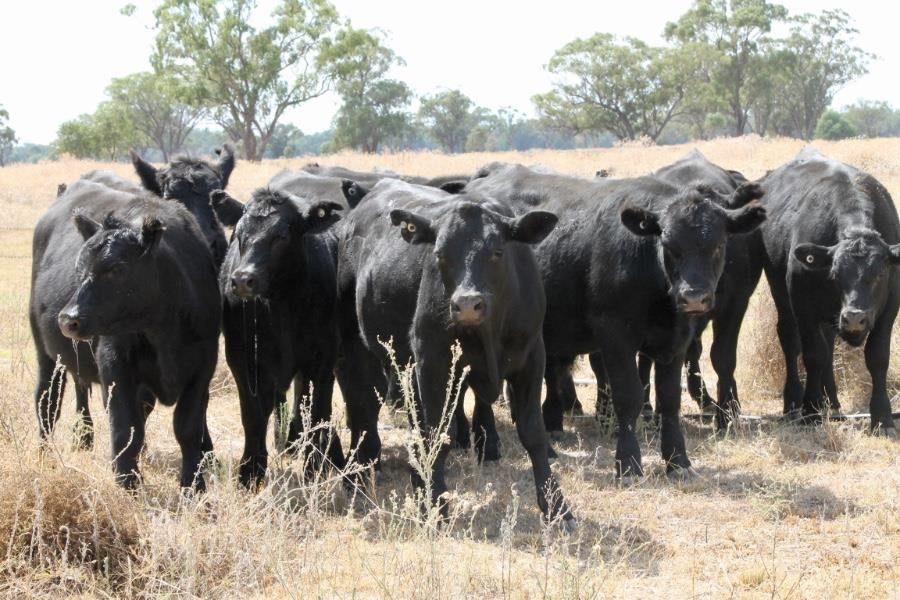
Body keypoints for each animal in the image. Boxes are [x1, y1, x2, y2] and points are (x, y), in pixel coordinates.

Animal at [30, 181, 220, 489]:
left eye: (118, 268)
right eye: (79, 267)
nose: (68, 319)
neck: (162, 330)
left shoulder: (202, 367)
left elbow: (188, 428)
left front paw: (193, 485)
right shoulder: (115, 364)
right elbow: (125, 428)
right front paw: (127, 482)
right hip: (45, 353)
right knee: (47, 403)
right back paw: (45, 455)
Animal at [211, 185, 348, 487]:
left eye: (281, 236)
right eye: (238, 234)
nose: (243, 279)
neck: (280, 304)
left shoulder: (321, 360)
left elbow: (315, 412)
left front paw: (314, 467)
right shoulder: (243, 361)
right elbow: (252, 415)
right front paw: (250, 472)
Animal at [335, 178, 572, 523]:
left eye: (497, 252)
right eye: (440, 254)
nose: (467, 304)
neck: (489, 333)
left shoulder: (531, 356)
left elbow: (533, 433)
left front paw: (557, 508)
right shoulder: (432, 359)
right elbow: (438, 433)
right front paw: (435, 505)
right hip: (358, 343)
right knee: (364, 403)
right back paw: (362, 471)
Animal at [467, 164, 766, 477]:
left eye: (719, 245)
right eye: (669, 245)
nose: (694, 297)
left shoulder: (676, 341)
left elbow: (670, 398)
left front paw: (677, 460)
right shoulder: (614, 335)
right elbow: (627, 396)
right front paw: (629, 462)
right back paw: (491, 447)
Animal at [759, 148, 899, 435]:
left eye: (880, 274)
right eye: (835, 273)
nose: (855, 317)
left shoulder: (890, 308)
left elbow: (878, 357)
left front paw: (882, 417)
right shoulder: (803, 305)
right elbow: (814, 354)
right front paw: (811, 410)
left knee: (830, 342)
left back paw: (832, 400)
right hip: (781, 295)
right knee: (790, 341)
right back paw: (793, 402)